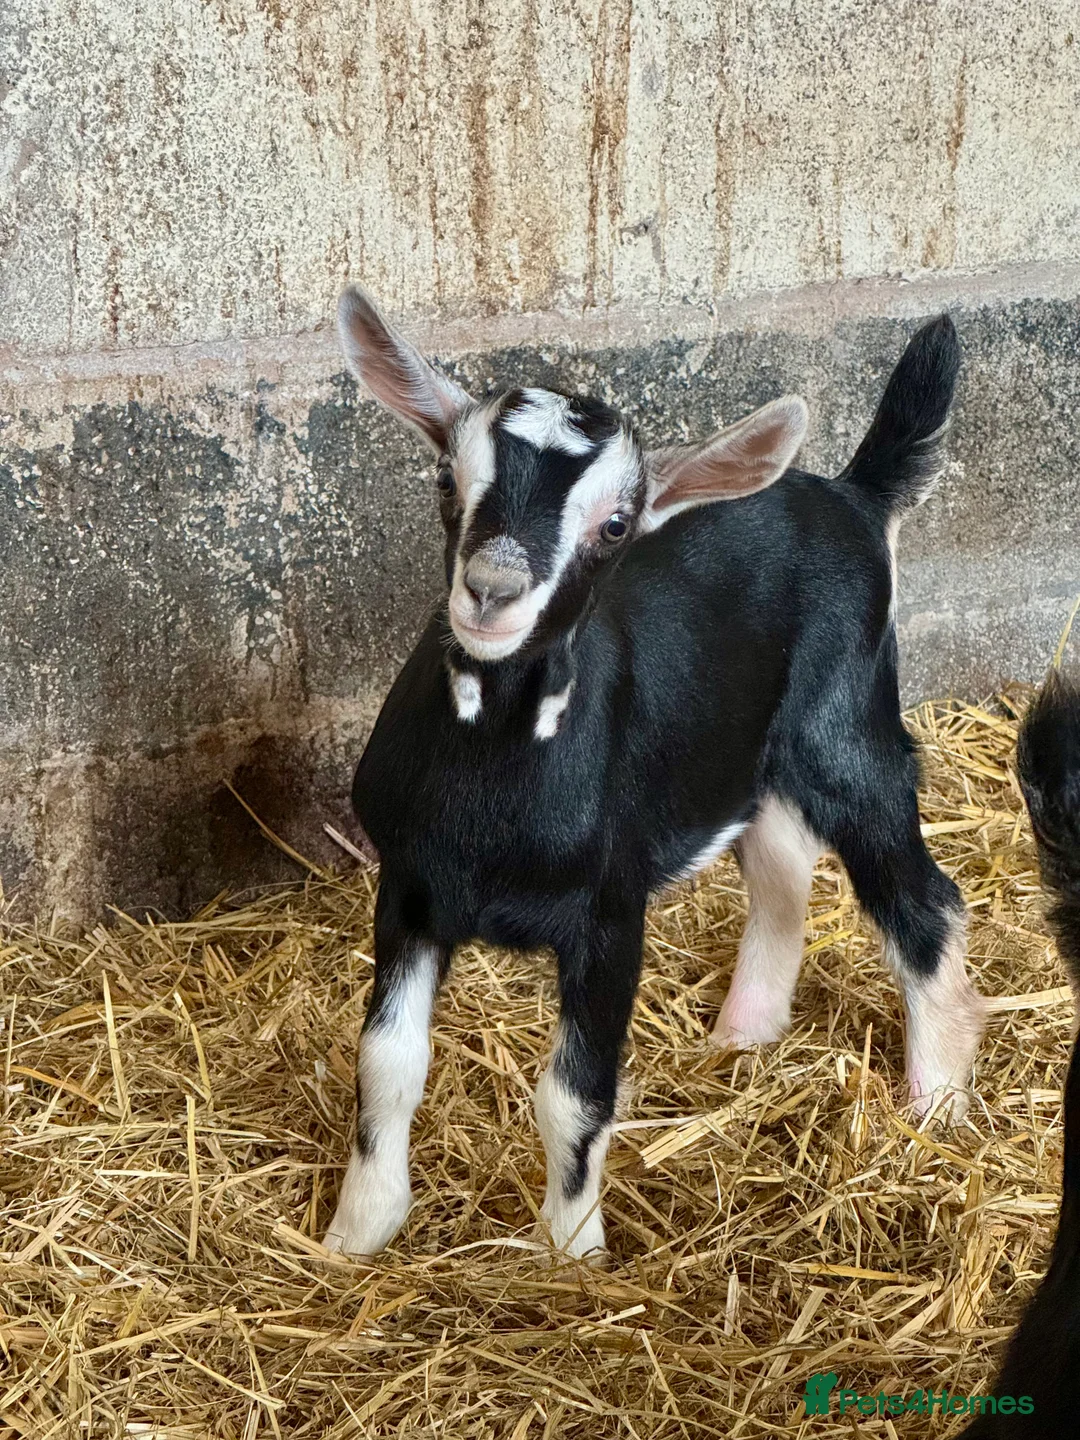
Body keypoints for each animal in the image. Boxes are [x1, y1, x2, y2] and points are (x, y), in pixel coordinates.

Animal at [323, 290, 986, 1259]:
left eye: (616, 525)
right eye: (448, 479)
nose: (492, 590)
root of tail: (852, 494)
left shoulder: (610, 912)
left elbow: (574, 1095)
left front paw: (573, 1252)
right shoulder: (409, 889)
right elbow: (387, 1064)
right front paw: (357, 1231)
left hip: (845, 732)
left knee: (921, 897)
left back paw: (935, 1102)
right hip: (744, 761)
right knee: (783, 871)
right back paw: (743, 1037)